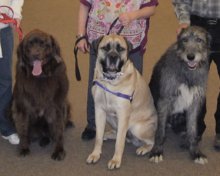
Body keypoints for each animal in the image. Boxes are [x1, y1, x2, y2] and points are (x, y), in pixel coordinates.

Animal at [149, 26, 211, 165]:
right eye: (184, 40)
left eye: (199, 40)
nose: (190, 57)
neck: (187, 71)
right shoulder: (164, 100)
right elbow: (160, 131)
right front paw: (157, 151)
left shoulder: (194, 103)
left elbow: (192, 129)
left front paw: (196, 152)